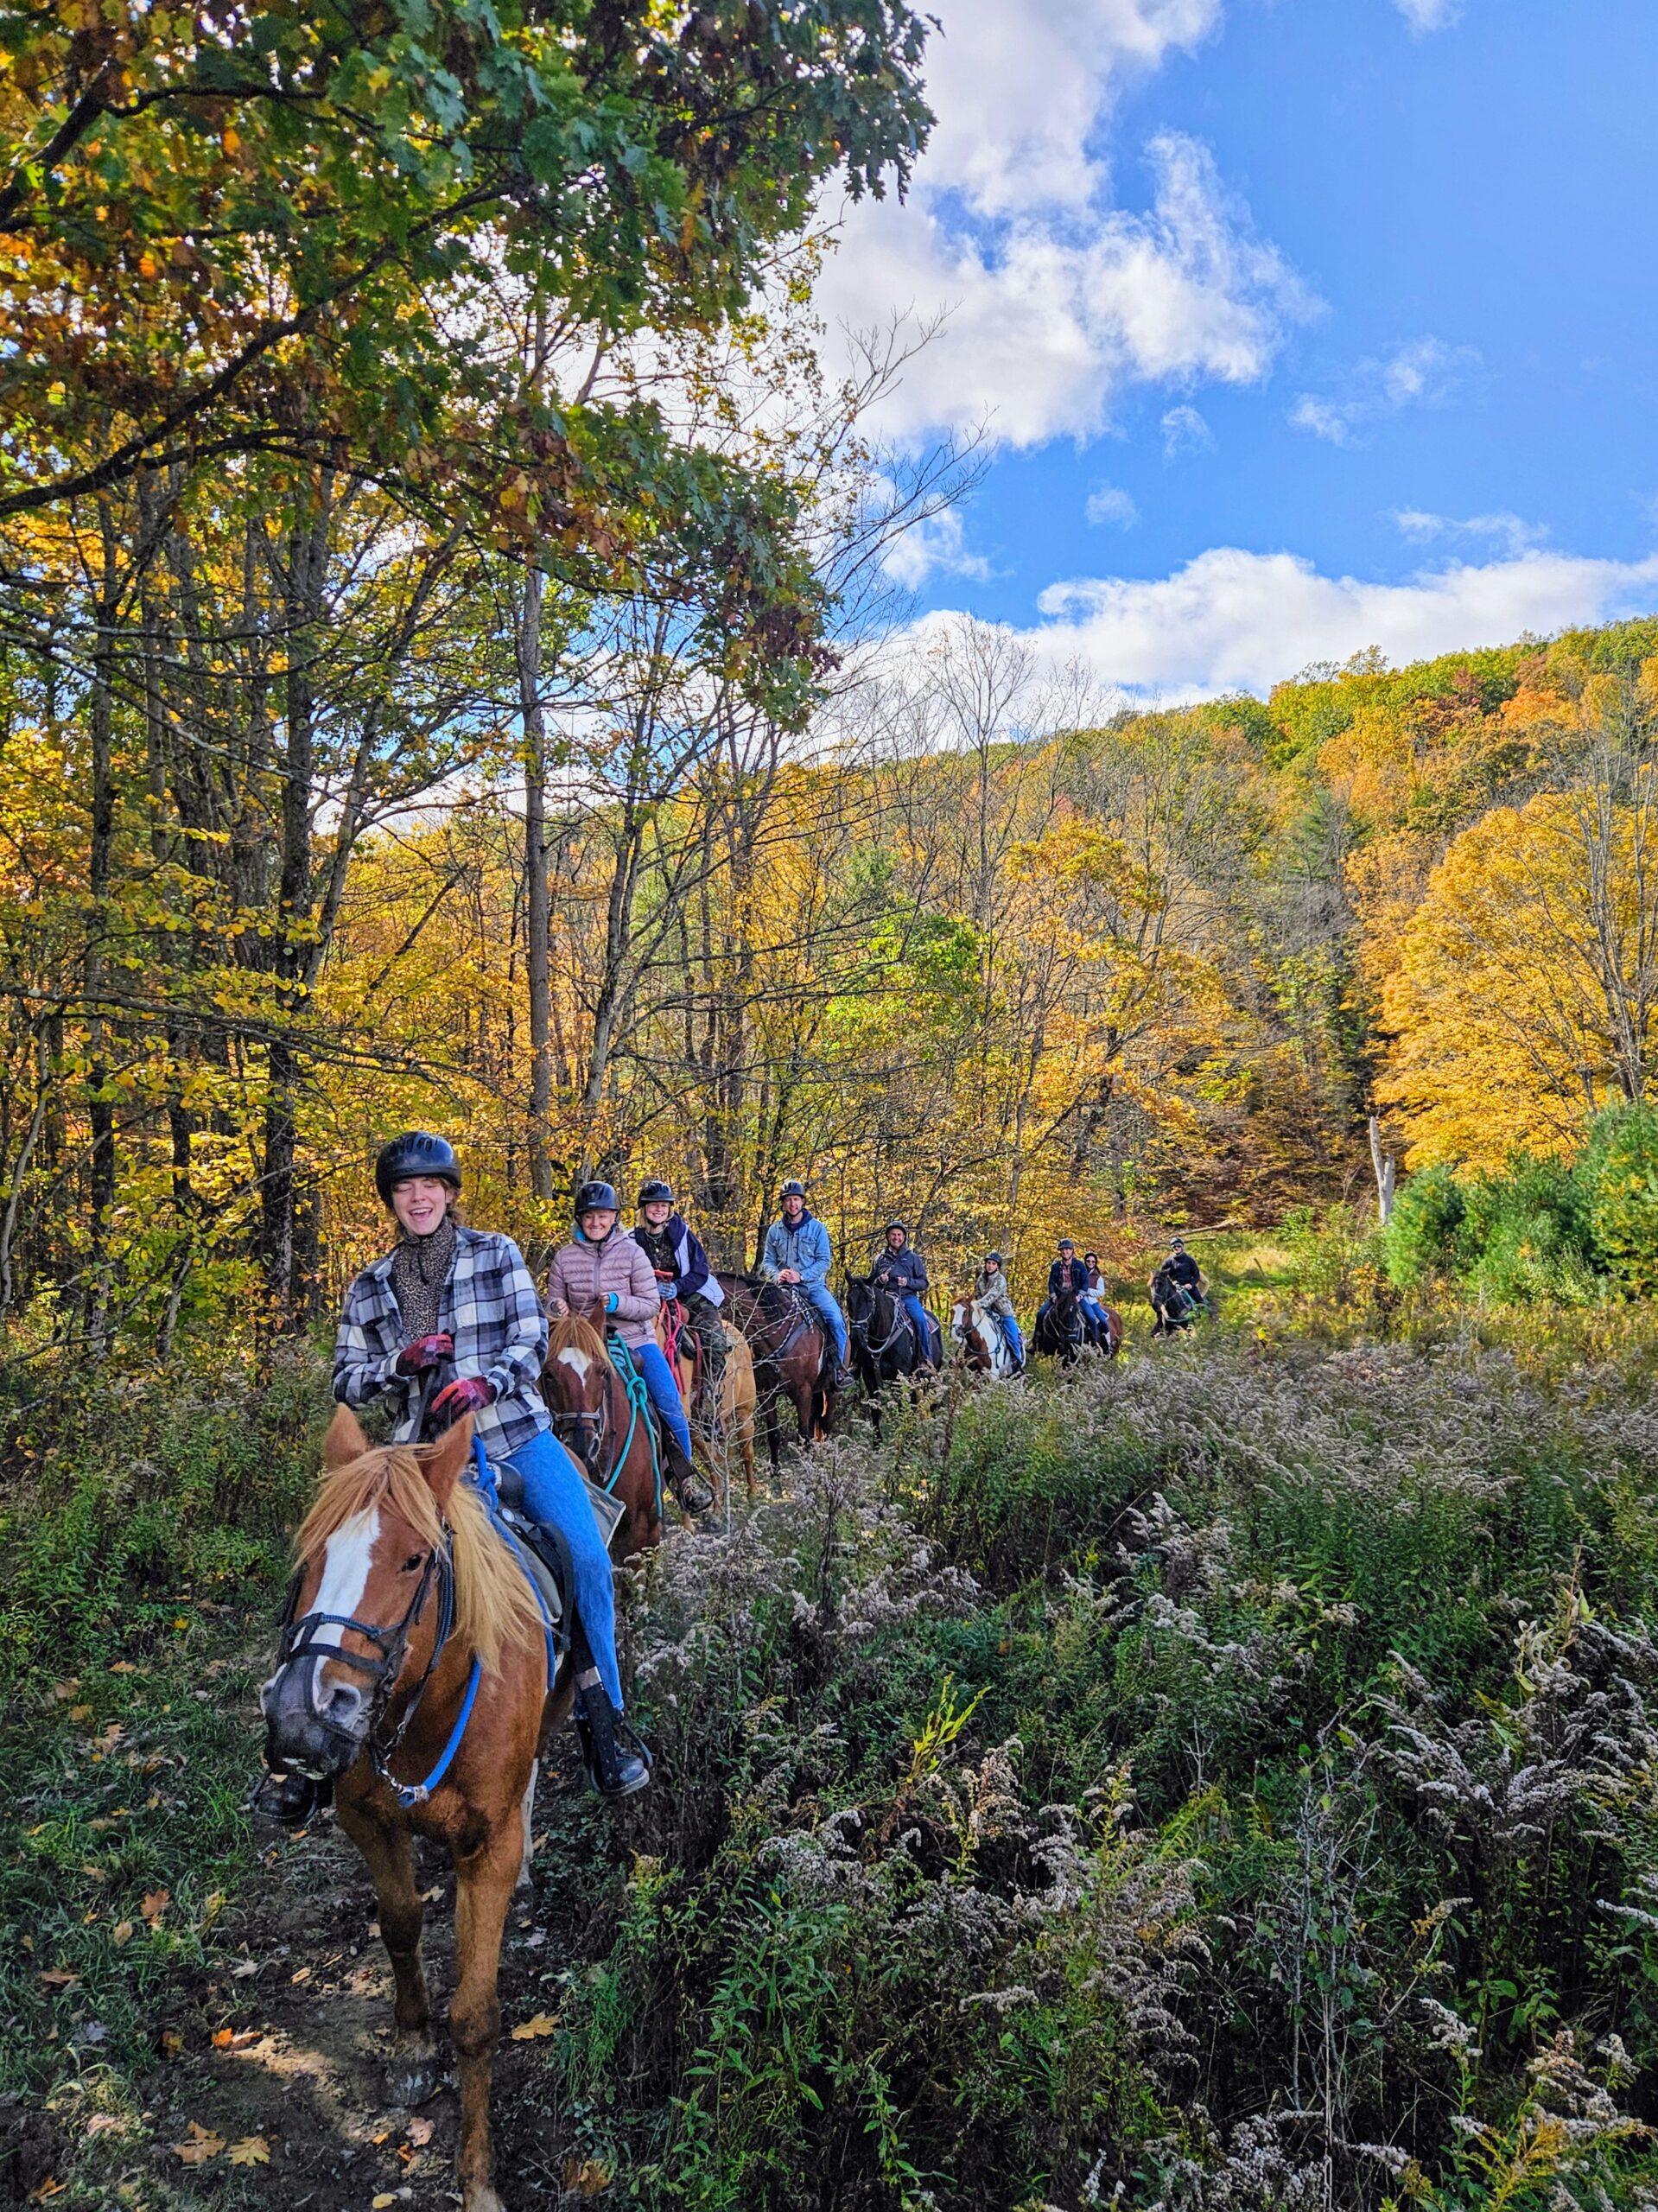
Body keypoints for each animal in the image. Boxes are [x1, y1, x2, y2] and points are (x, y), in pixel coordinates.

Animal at [260, 1415, 559, 2212]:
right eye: (310, 1555)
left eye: (413, 1559)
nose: (300, 1715)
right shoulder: (367, 1820)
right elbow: (398, 1925)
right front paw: (413, 2046)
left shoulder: (486, 1849)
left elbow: (477, 2018)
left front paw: (477, 2176)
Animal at [716, 1274, 835, 1478]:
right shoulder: (766, 1394)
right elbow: (774, 1434)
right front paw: (775, 1471)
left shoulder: (803, 1391)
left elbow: (802, 1433)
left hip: (832, 1389)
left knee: (826, 1420)